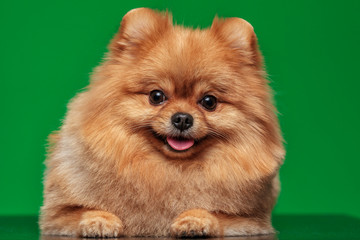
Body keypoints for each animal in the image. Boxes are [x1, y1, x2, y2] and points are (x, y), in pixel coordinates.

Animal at [40, 7, 284, 238]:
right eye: (156, 96)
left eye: (209, 101)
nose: (182, 118)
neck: (168, 170)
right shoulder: (55, 215)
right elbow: (83, 210)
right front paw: (100, 221)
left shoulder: (252, 219)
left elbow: (216, 214)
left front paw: (194, 220)